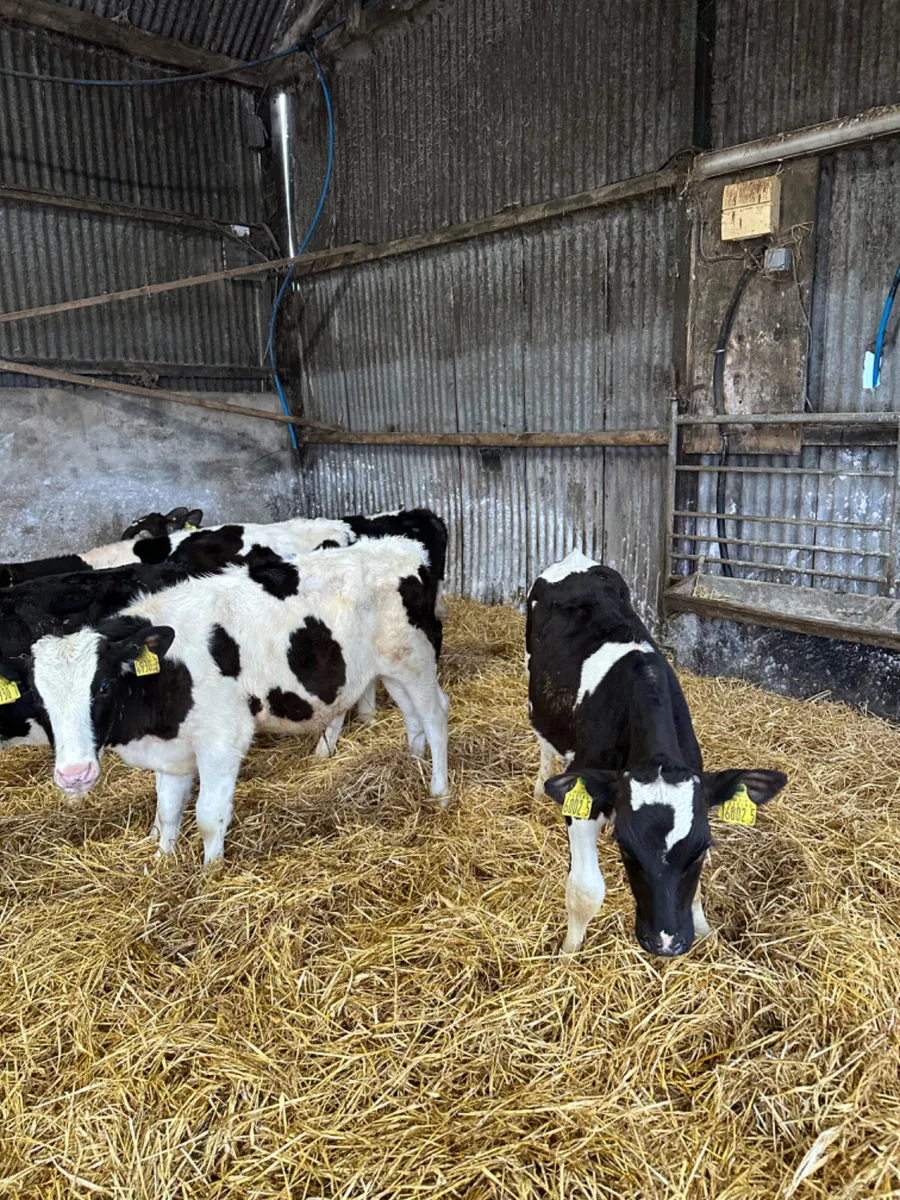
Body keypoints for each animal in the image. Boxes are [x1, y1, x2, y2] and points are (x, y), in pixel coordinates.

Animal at [8, 537, 450, 863]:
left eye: (101, 686)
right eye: (37, 700)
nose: (74, 774)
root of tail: (401, 547)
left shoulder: (223, 739)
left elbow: (207, 816)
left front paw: (210, 874)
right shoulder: (171, 749)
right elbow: (167, 811)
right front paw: (162, 865)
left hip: (416, 658)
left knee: (435, 715)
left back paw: (439, 790)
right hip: (388, 668)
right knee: (411, 714)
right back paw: (412, 762)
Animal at [527, 550, 786, 958]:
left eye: (701, 848)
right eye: (627, 850)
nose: (666, 942)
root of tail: (576, 558)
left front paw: (705, 930)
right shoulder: (583, 802)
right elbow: (586, 891)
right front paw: (568, 952)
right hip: (537, 696)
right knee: (545, 744)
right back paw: (541, 787)